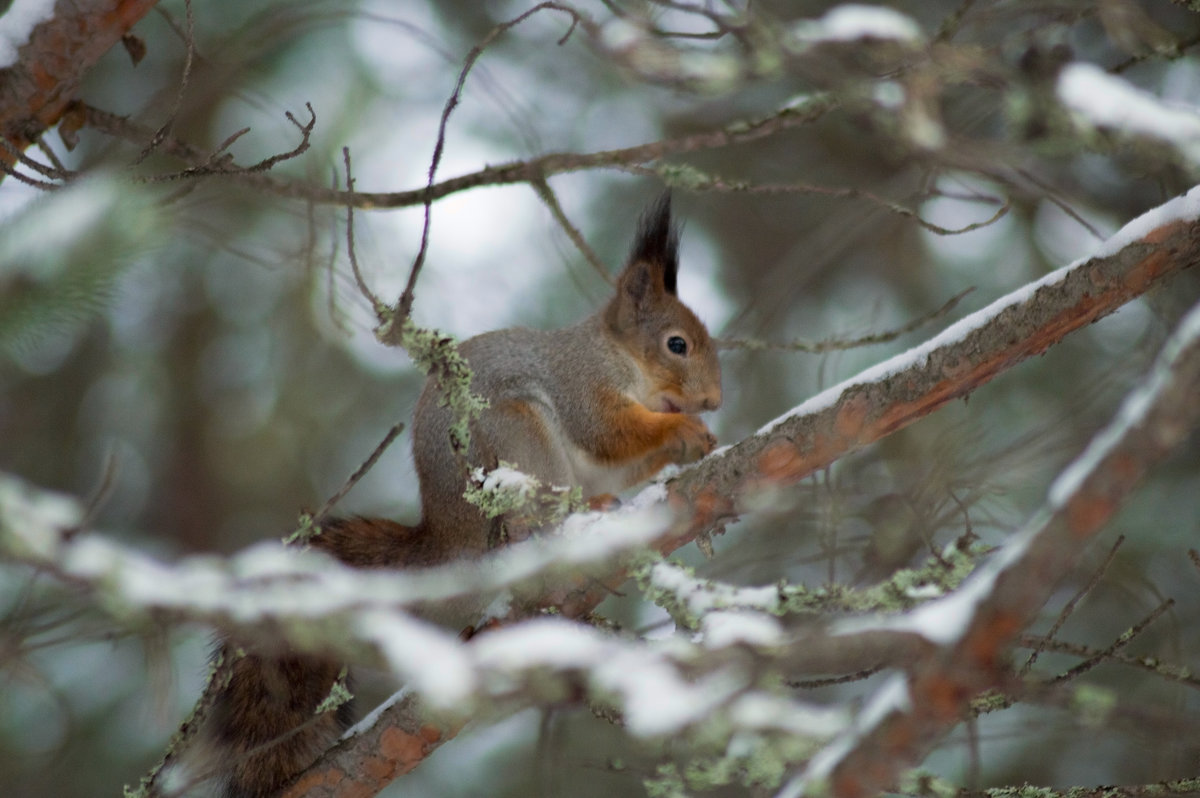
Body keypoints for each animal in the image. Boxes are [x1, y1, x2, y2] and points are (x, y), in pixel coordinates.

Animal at [204, 194, 720, 796]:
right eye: (676, 344)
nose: (713, 400)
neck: (621, 360)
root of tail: (450, 538)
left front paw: (698, 440)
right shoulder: (582, 387)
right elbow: (609, 432)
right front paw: (681, 430)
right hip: (518, 437)